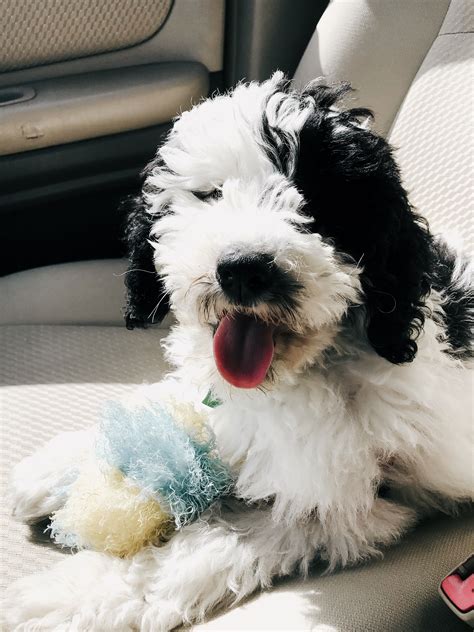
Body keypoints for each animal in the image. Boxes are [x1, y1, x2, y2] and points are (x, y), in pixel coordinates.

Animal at [5, 75, 472, 632]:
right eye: (211, 194)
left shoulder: (340, 502)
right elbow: (178, 400)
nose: (244, 269)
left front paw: (70, 596)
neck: (308, 369)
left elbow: (202, 548)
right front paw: (57, 465)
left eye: (317, 201)